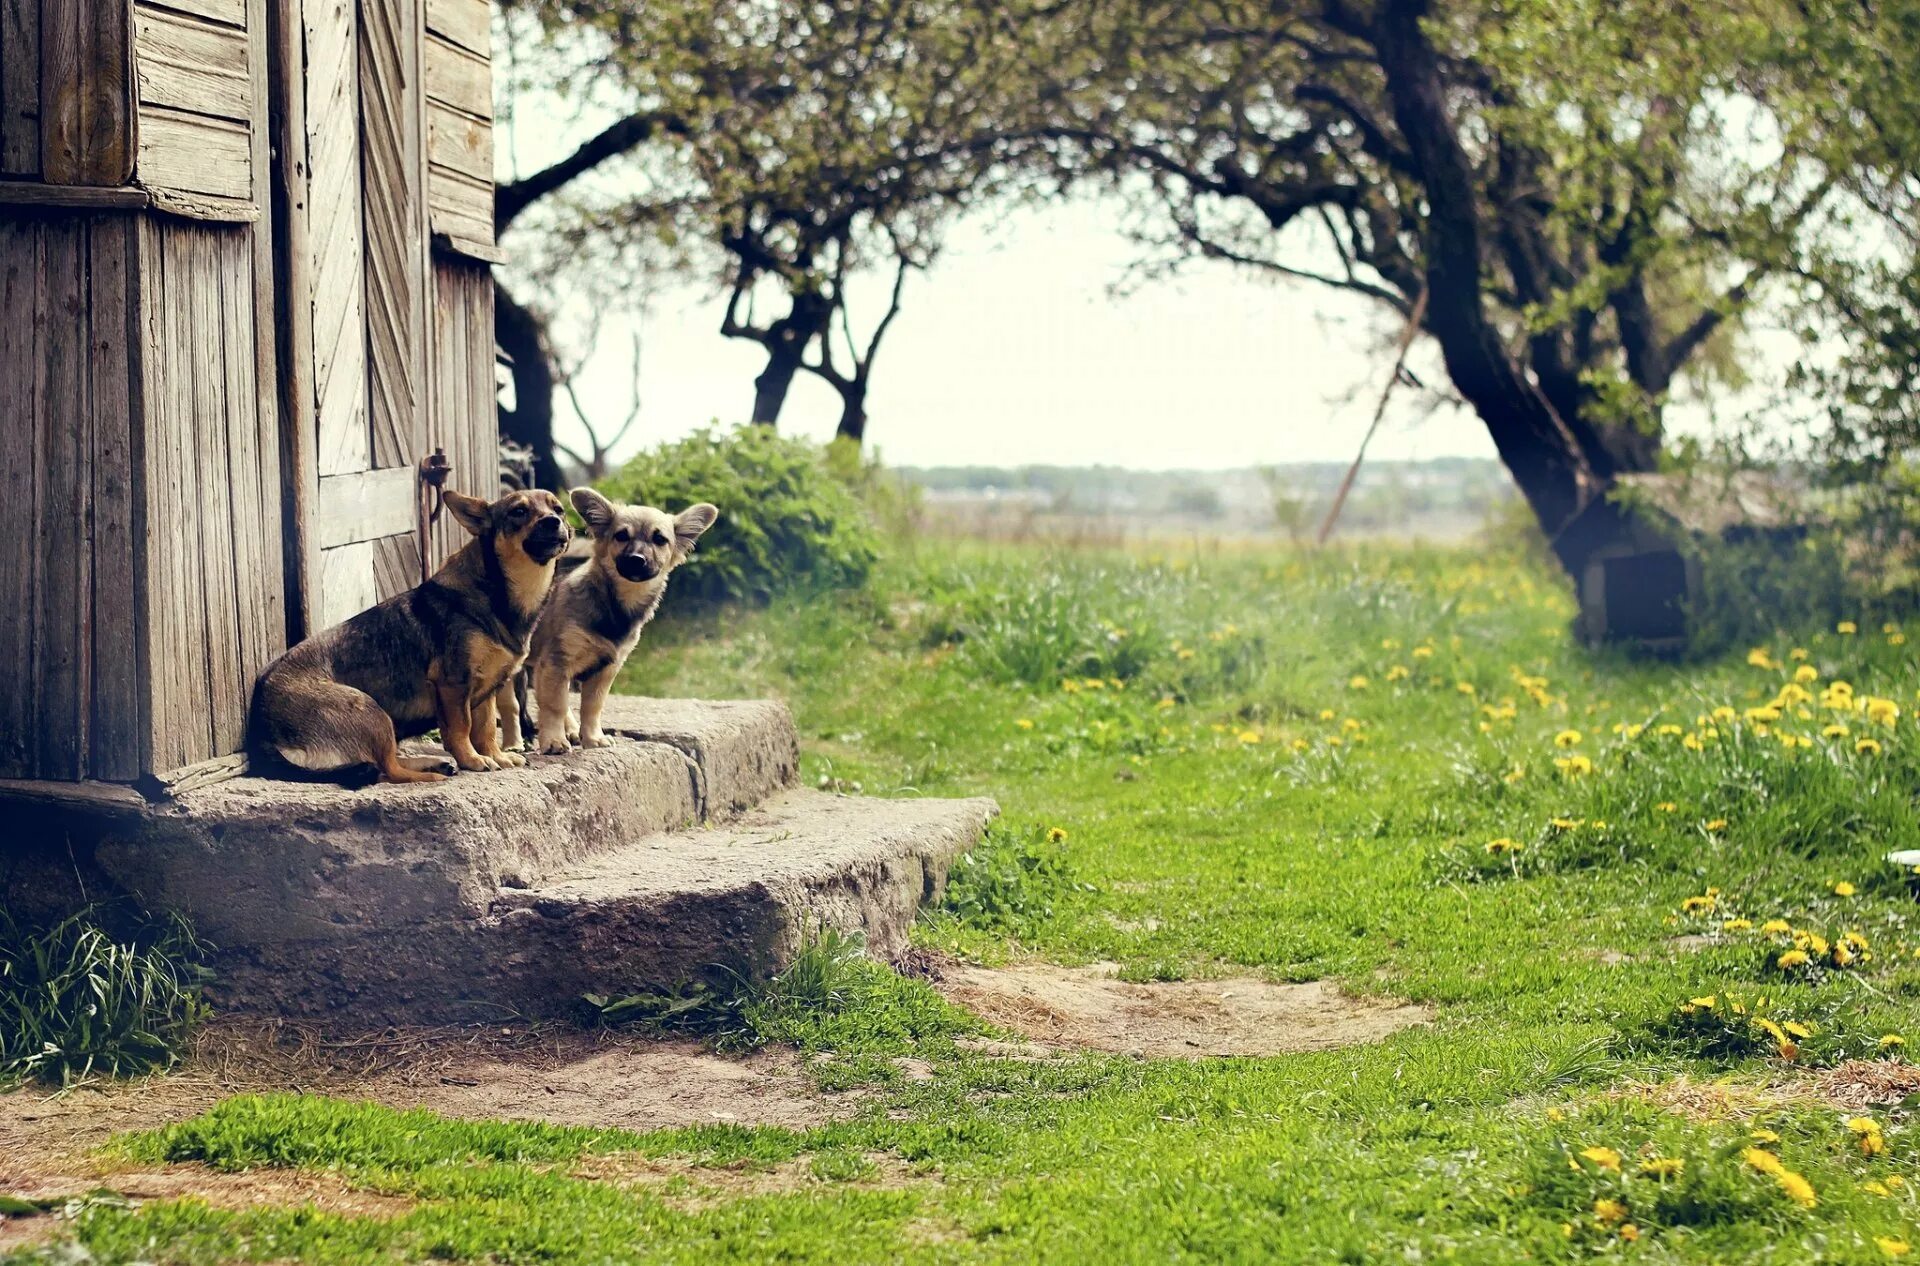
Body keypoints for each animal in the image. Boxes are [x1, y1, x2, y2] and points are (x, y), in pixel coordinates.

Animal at [243, 487, 568, 776]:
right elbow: (461, 728)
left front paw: (495, 756)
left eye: (559, 509)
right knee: (387, 768)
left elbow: (486, 728)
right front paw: (472, 759)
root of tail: (264, 729)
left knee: (387, 761)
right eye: (519, 512)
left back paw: (433, 764)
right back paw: (431, 774)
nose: (554, 521)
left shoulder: (486, 690)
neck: (500, 591)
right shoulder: (453, 683)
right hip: (370, 710)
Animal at [522, 489, 718, 753]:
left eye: (660, 540)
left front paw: (592, 737)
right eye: (621, 536)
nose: (636, 559)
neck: (616, 608)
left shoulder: (605, 670)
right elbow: (554, 705)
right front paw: (553, 741)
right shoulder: (556, 662)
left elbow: (592, 707)